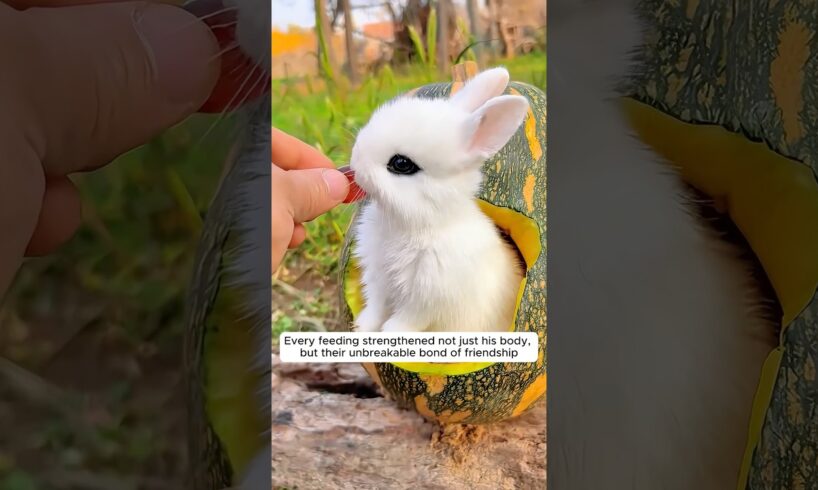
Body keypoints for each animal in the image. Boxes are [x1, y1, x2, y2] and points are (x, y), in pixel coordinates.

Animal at [349, 67, 529, 333]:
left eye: (401, 164)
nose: (356, 162)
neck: (416, 223)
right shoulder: (378, 279)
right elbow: (376, 305)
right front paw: (362, 326)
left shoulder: (428, 298)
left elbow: (407, 319)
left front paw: (390, 332)